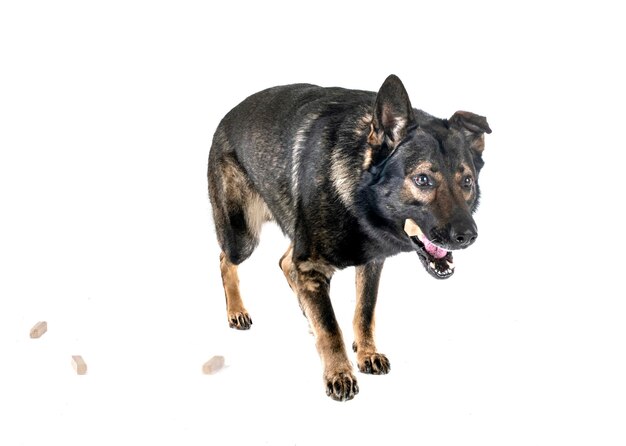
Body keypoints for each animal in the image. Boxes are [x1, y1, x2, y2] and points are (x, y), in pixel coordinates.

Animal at [207, 75, 490, 402]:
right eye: (423, 180)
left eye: (467, 181)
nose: (468, 236)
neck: (359, 200)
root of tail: (228, 115)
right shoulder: (311, 265)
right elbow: (330, 328)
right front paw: (339, 373)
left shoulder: (371, 263)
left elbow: (364, 312)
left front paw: (366, 353)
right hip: (242, 235)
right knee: (225, 259)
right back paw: (237, 311)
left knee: (284, 262)